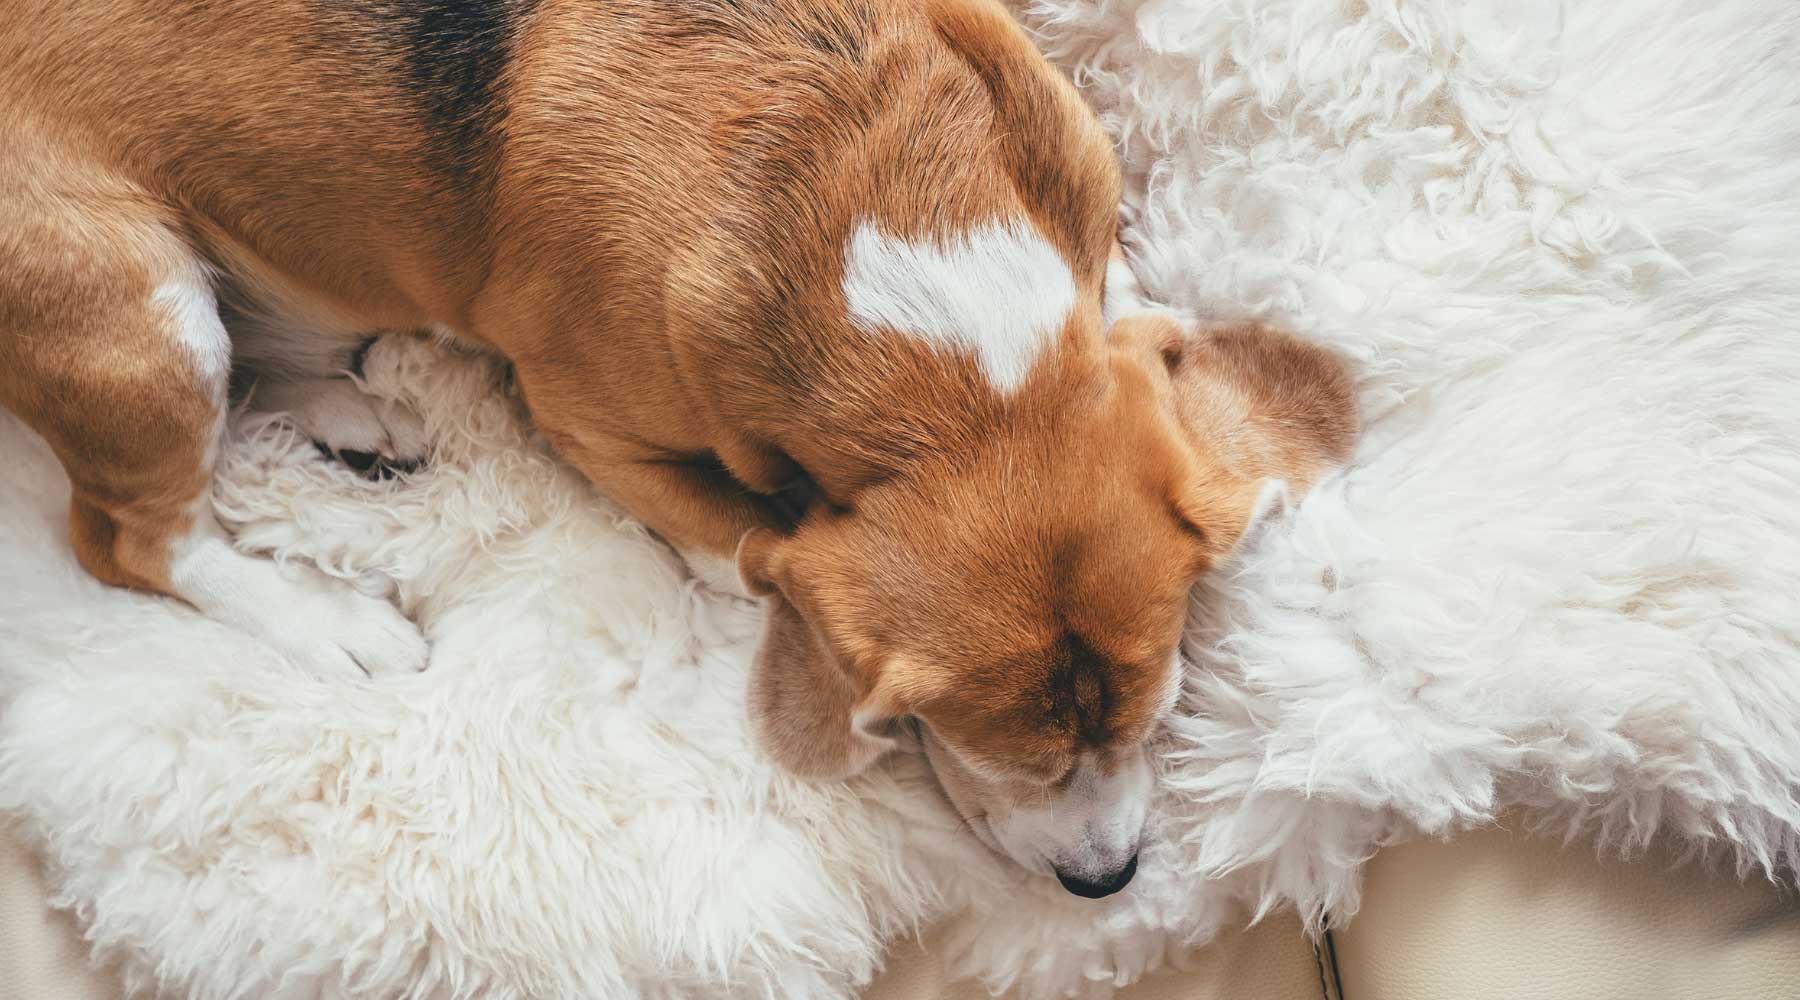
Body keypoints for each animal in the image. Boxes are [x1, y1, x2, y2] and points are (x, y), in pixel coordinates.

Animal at [0, 1, 1353, 899]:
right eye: (985, 751)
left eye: (1156, 710)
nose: (1107, 880)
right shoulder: (586, 421)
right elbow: (753, 541)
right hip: (139, 312)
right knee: (134, 538)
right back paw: (329, 621)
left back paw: (355, 415)